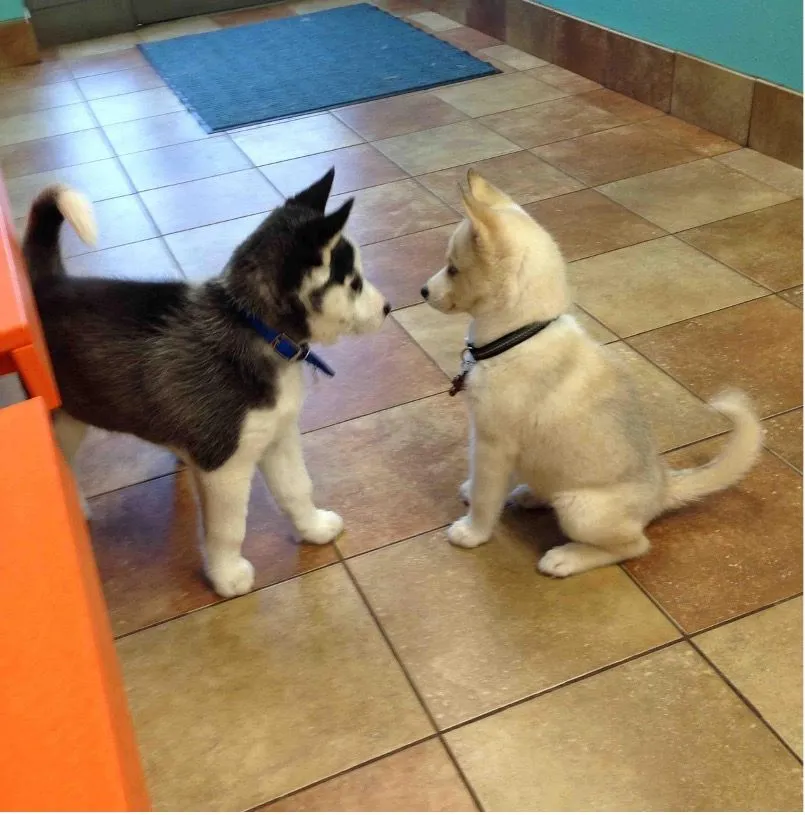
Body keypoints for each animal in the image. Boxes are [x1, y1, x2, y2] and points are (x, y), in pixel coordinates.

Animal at [22, 169, 390, 596]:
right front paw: (227, 576)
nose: (388, 308)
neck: (255, 326)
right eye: (353, 283)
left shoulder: (278, 437)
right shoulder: (224, 467)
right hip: (64, 419)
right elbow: (228, 530)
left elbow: (297, 488)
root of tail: (46, 283)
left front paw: (312, 528)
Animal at [424, 169, 764, 576]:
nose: (423, 291)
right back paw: (530, 494)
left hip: (581, 509)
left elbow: (486, 496)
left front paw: (472, 531)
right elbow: (484, 482)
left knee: (634, 545)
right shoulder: (491, 441)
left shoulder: (493, 442)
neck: (521, 333)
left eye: (453, 268)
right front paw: (473, 491)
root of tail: (663, 487)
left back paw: (565, 557)